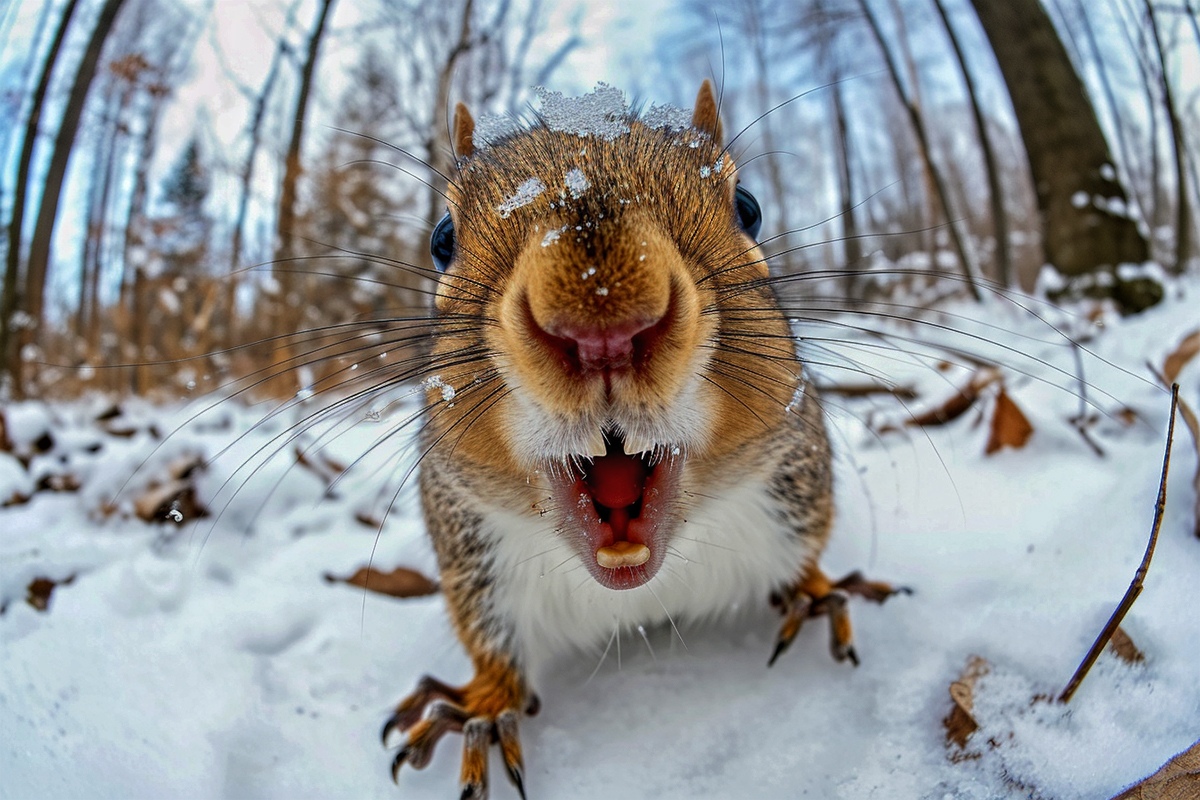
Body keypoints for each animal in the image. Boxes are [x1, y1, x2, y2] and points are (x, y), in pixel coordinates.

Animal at [379, 82, 902, 800]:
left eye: (748, 208)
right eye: (442, 239)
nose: (602, 324)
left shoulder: (794, 483)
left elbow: (807, 556)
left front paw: (817, 590)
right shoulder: (473, 554)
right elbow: (490, 646)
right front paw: (483, 704)